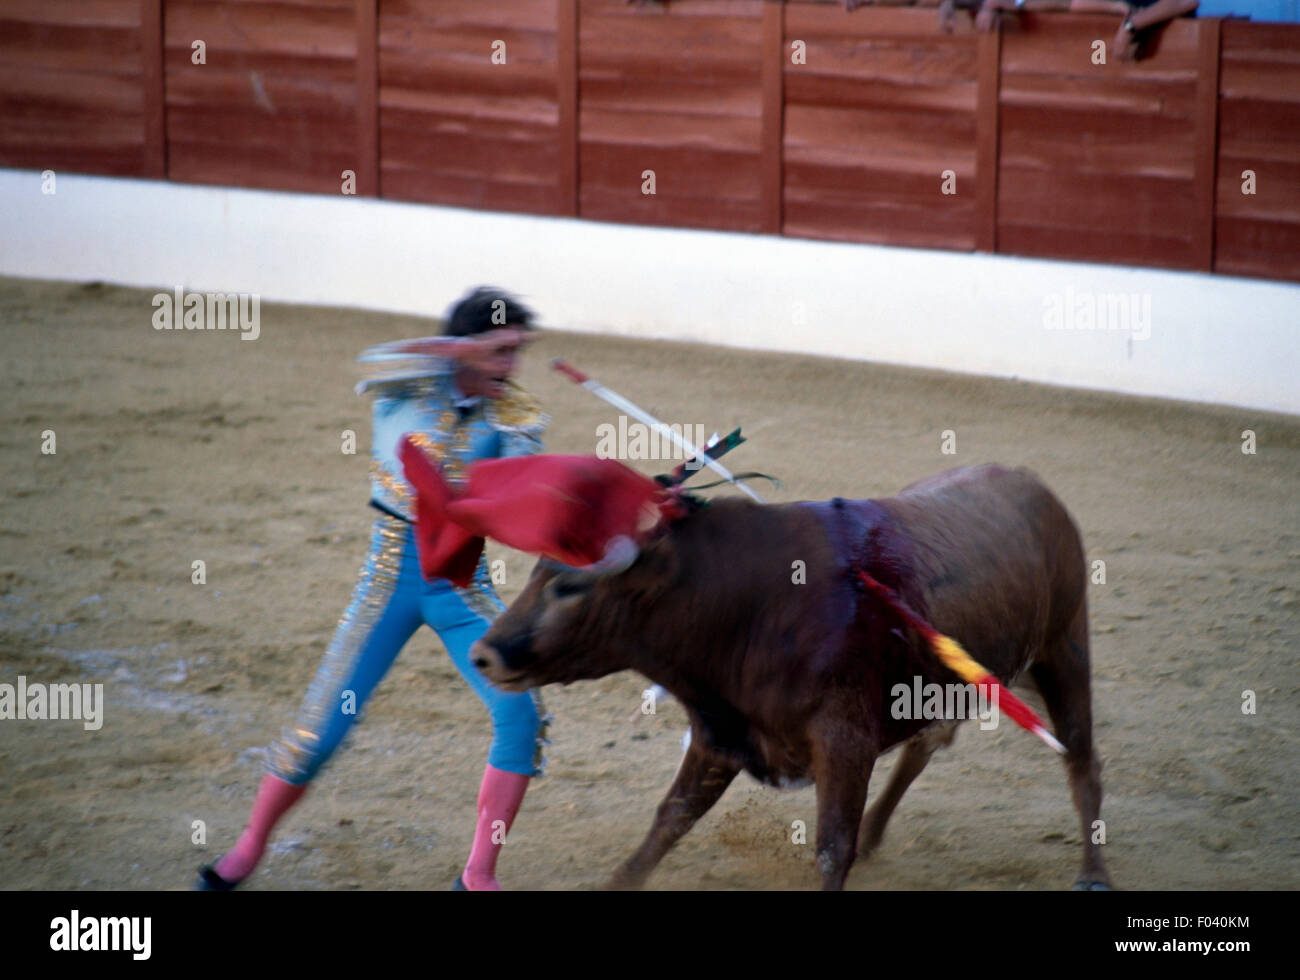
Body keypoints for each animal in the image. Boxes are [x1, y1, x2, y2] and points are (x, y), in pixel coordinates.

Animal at [473, 462, 1112, 889]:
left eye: (568, 586)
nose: (484, 655)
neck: (748, 605)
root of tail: (1033, 485)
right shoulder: (720, 732)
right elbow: (669, 820)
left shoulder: (844, 742)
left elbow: (831, 847)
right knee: (925, 747)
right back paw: (878, 833)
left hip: (1063, 651)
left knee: (1081, 757)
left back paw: (1093, 873)